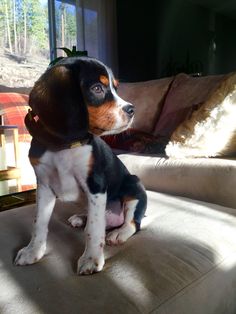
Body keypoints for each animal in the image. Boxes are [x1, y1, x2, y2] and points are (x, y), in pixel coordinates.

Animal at [13, 56, 147, 274]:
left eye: (116, 88)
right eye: (97, 88)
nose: (132, 109)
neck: (63, 145)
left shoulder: (96, 185)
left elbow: (93, 229)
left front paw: (91, 259)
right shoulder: (44, 186)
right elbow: (39, 223)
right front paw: (33, 251)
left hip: (134, 187)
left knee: (132, 223)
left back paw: (118, 233)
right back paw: (81, 217)